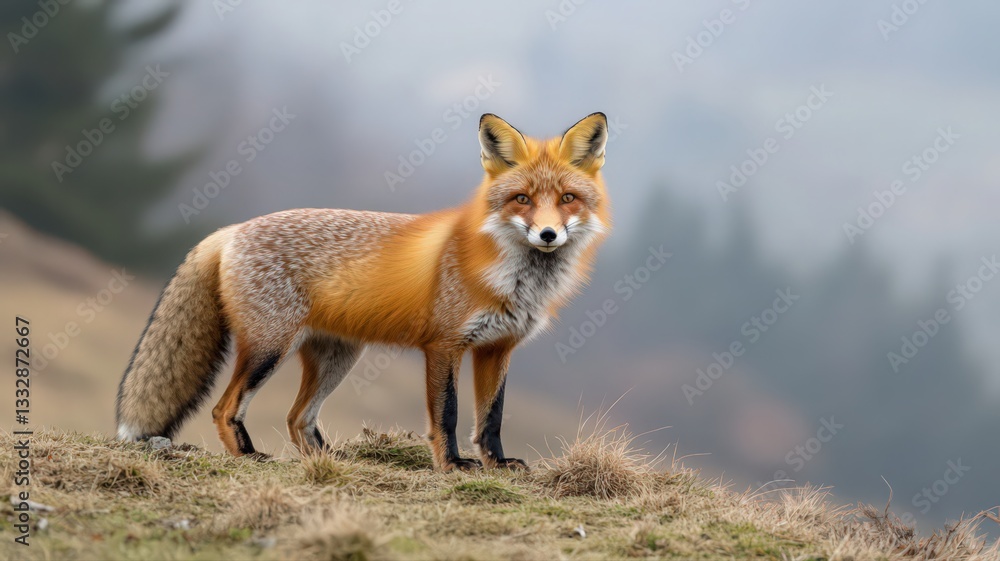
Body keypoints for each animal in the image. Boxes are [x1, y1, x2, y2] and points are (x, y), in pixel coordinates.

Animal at [116, 112, 611, 471]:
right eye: (522, 199)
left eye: (567, 199)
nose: (547, 234)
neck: (513, 280)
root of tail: (233, 230)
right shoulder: (445, 346)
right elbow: (448, 415)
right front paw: (452, 465)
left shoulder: (498, 349)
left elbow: (491, 418)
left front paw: (498, 464)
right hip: (269, 348)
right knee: (225, 408)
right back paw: (250, 456)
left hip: (337, 358)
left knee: (298, 418)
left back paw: (330, 461)